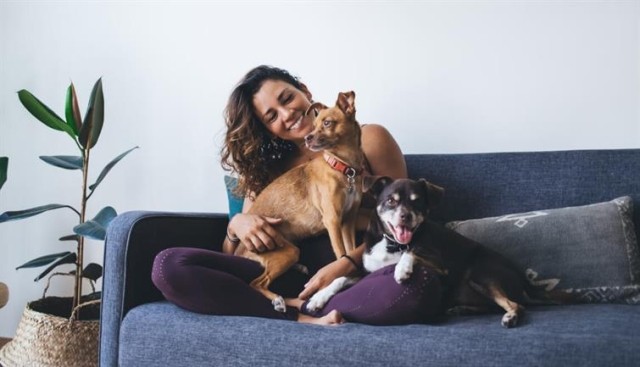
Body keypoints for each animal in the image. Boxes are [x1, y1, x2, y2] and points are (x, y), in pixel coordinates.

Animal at [235, 90, 364, 312]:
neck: (343, 167)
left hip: (290, 249)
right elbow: (340, 255)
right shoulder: (333, 221)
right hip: (285, 253)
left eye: (327, 123)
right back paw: (277, 300)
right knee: (256, 282)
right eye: (314, 124)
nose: (307, 137)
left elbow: (350, 251)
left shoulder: (348, 221)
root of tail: (241, 250)